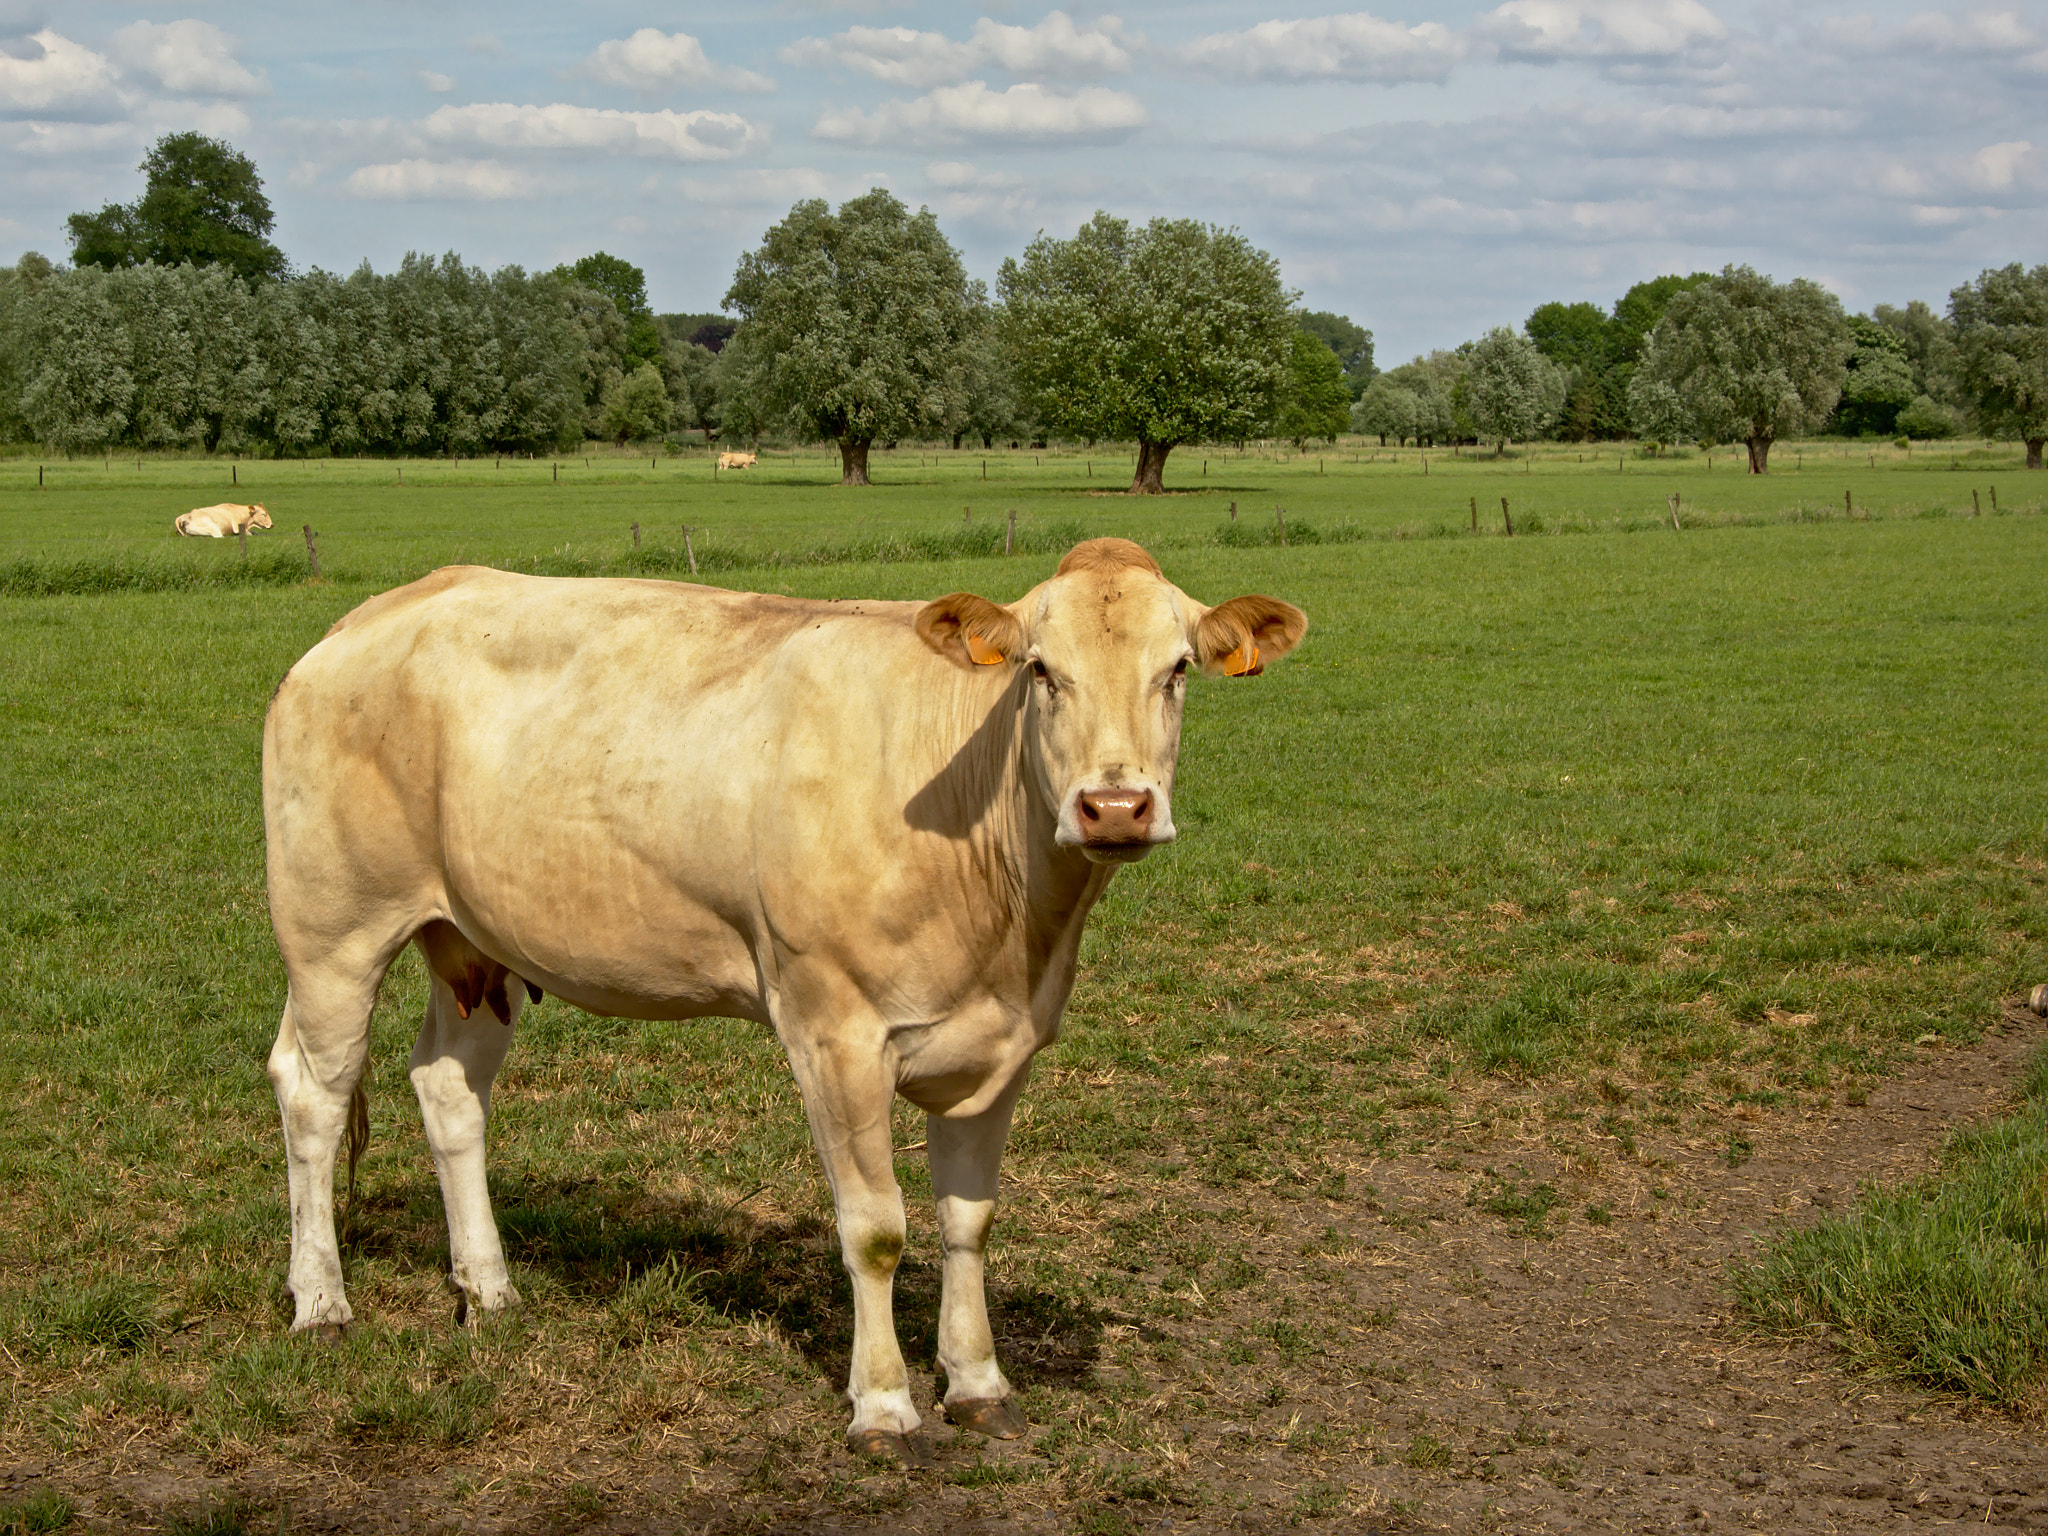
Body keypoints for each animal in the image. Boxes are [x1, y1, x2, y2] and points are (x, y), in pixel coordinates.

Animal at [261, 538, 1305, 1463]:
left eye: (1178, 669)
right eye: (1041, 671)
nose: (1115, 807)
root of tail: (380, 610)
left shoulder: (1004, 1042)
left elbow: (968, 1221)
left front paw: (978, 1384)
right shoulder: (833, 1031)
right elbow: (876, 1231)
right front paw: (883, 1406)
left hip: (473, 939)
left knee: (448, 1087)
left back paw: (488, 1290)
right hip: (332, 926)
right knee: (314, 1092)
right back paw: (322, 1303)